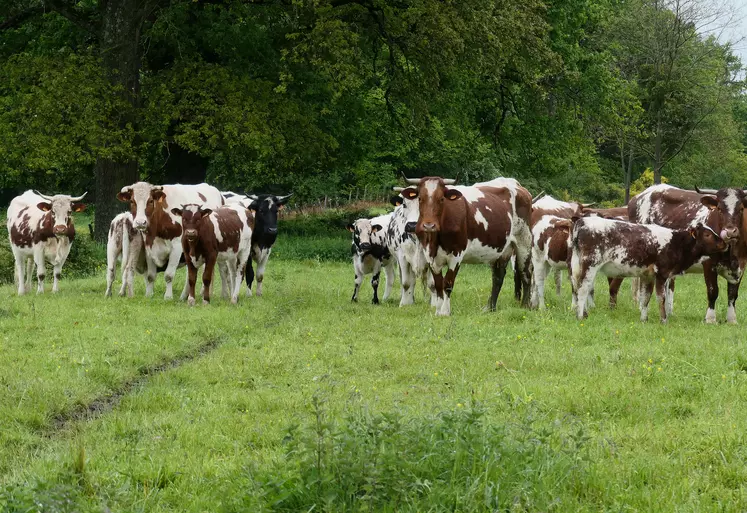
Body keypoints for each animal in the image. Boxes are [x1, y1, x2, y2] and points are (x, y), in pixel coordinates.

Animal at [400, 175, 536, 316]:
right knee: (498, 277)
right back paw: (490, 308)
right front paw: (438, 311)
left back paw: (525, 305)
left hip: (524, 242)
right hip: (502, 249)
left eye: (442, 199)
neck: (435, 239)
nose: (428, 225)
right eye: (420, 198)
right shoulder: (430, 256)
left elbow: (447, 283)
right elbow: (438, 284)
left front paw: (445, 312)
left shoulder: (456, 255)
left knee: (525, 272)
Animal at [568, 217, 728, 322]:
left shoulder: (647, 275)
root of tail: (582, 222)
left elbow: (646, 297)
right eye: (707, 234)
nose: (724, 243)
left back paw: (583, 313)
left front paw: (644, 319)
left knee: (577, 286)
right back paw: (580, 316)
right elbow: (661, 297)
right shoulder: (662, 273)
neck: (676, 243)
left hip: (578, 265)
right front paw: (663, 320)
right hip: (590, 265)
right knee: (583, 288)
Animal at [632, 182, 747, 322]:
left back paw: (668, 311)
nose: (730, 231)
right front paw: (710, 318)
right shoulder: (709, 263)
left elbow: (732, 294)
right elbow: (713, 291)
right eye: (719, 209)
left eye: (741, 209)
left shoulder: (741, 266)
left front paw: (731, 319)